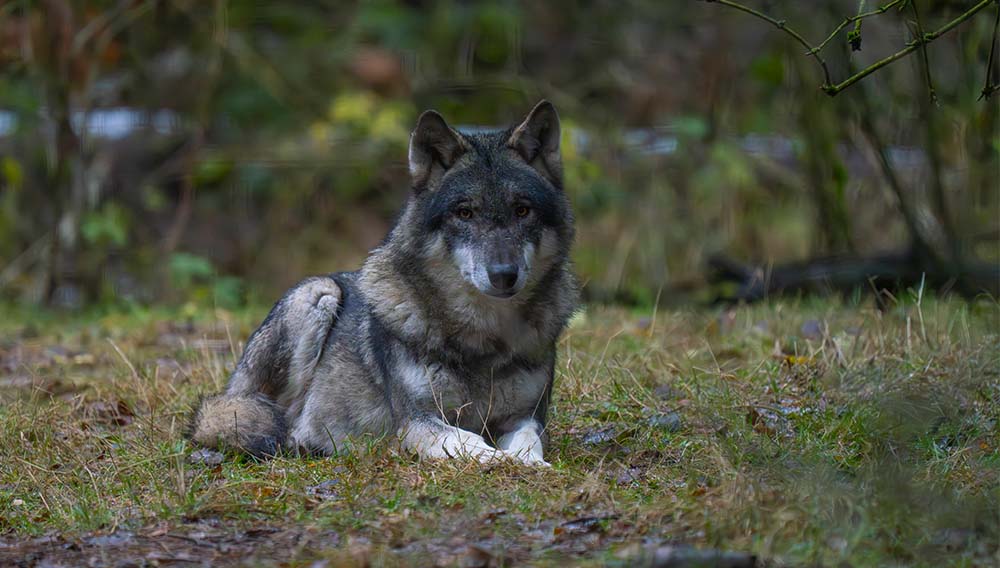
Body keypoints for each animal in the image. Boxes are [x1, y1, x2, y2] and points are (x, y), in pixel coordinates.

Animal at [188, 102, 580, 466]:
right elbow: (467, 440)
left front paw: (530, 463)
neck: (483, 337)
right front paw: (501, 461)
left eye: (522, 210)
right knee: (282, 420)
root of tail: (227, 391)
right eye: (464, 213)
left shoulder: (526, 417)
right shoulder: (416, 421)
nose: (503, 274)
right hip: (318, 294)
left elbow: (528, 442)